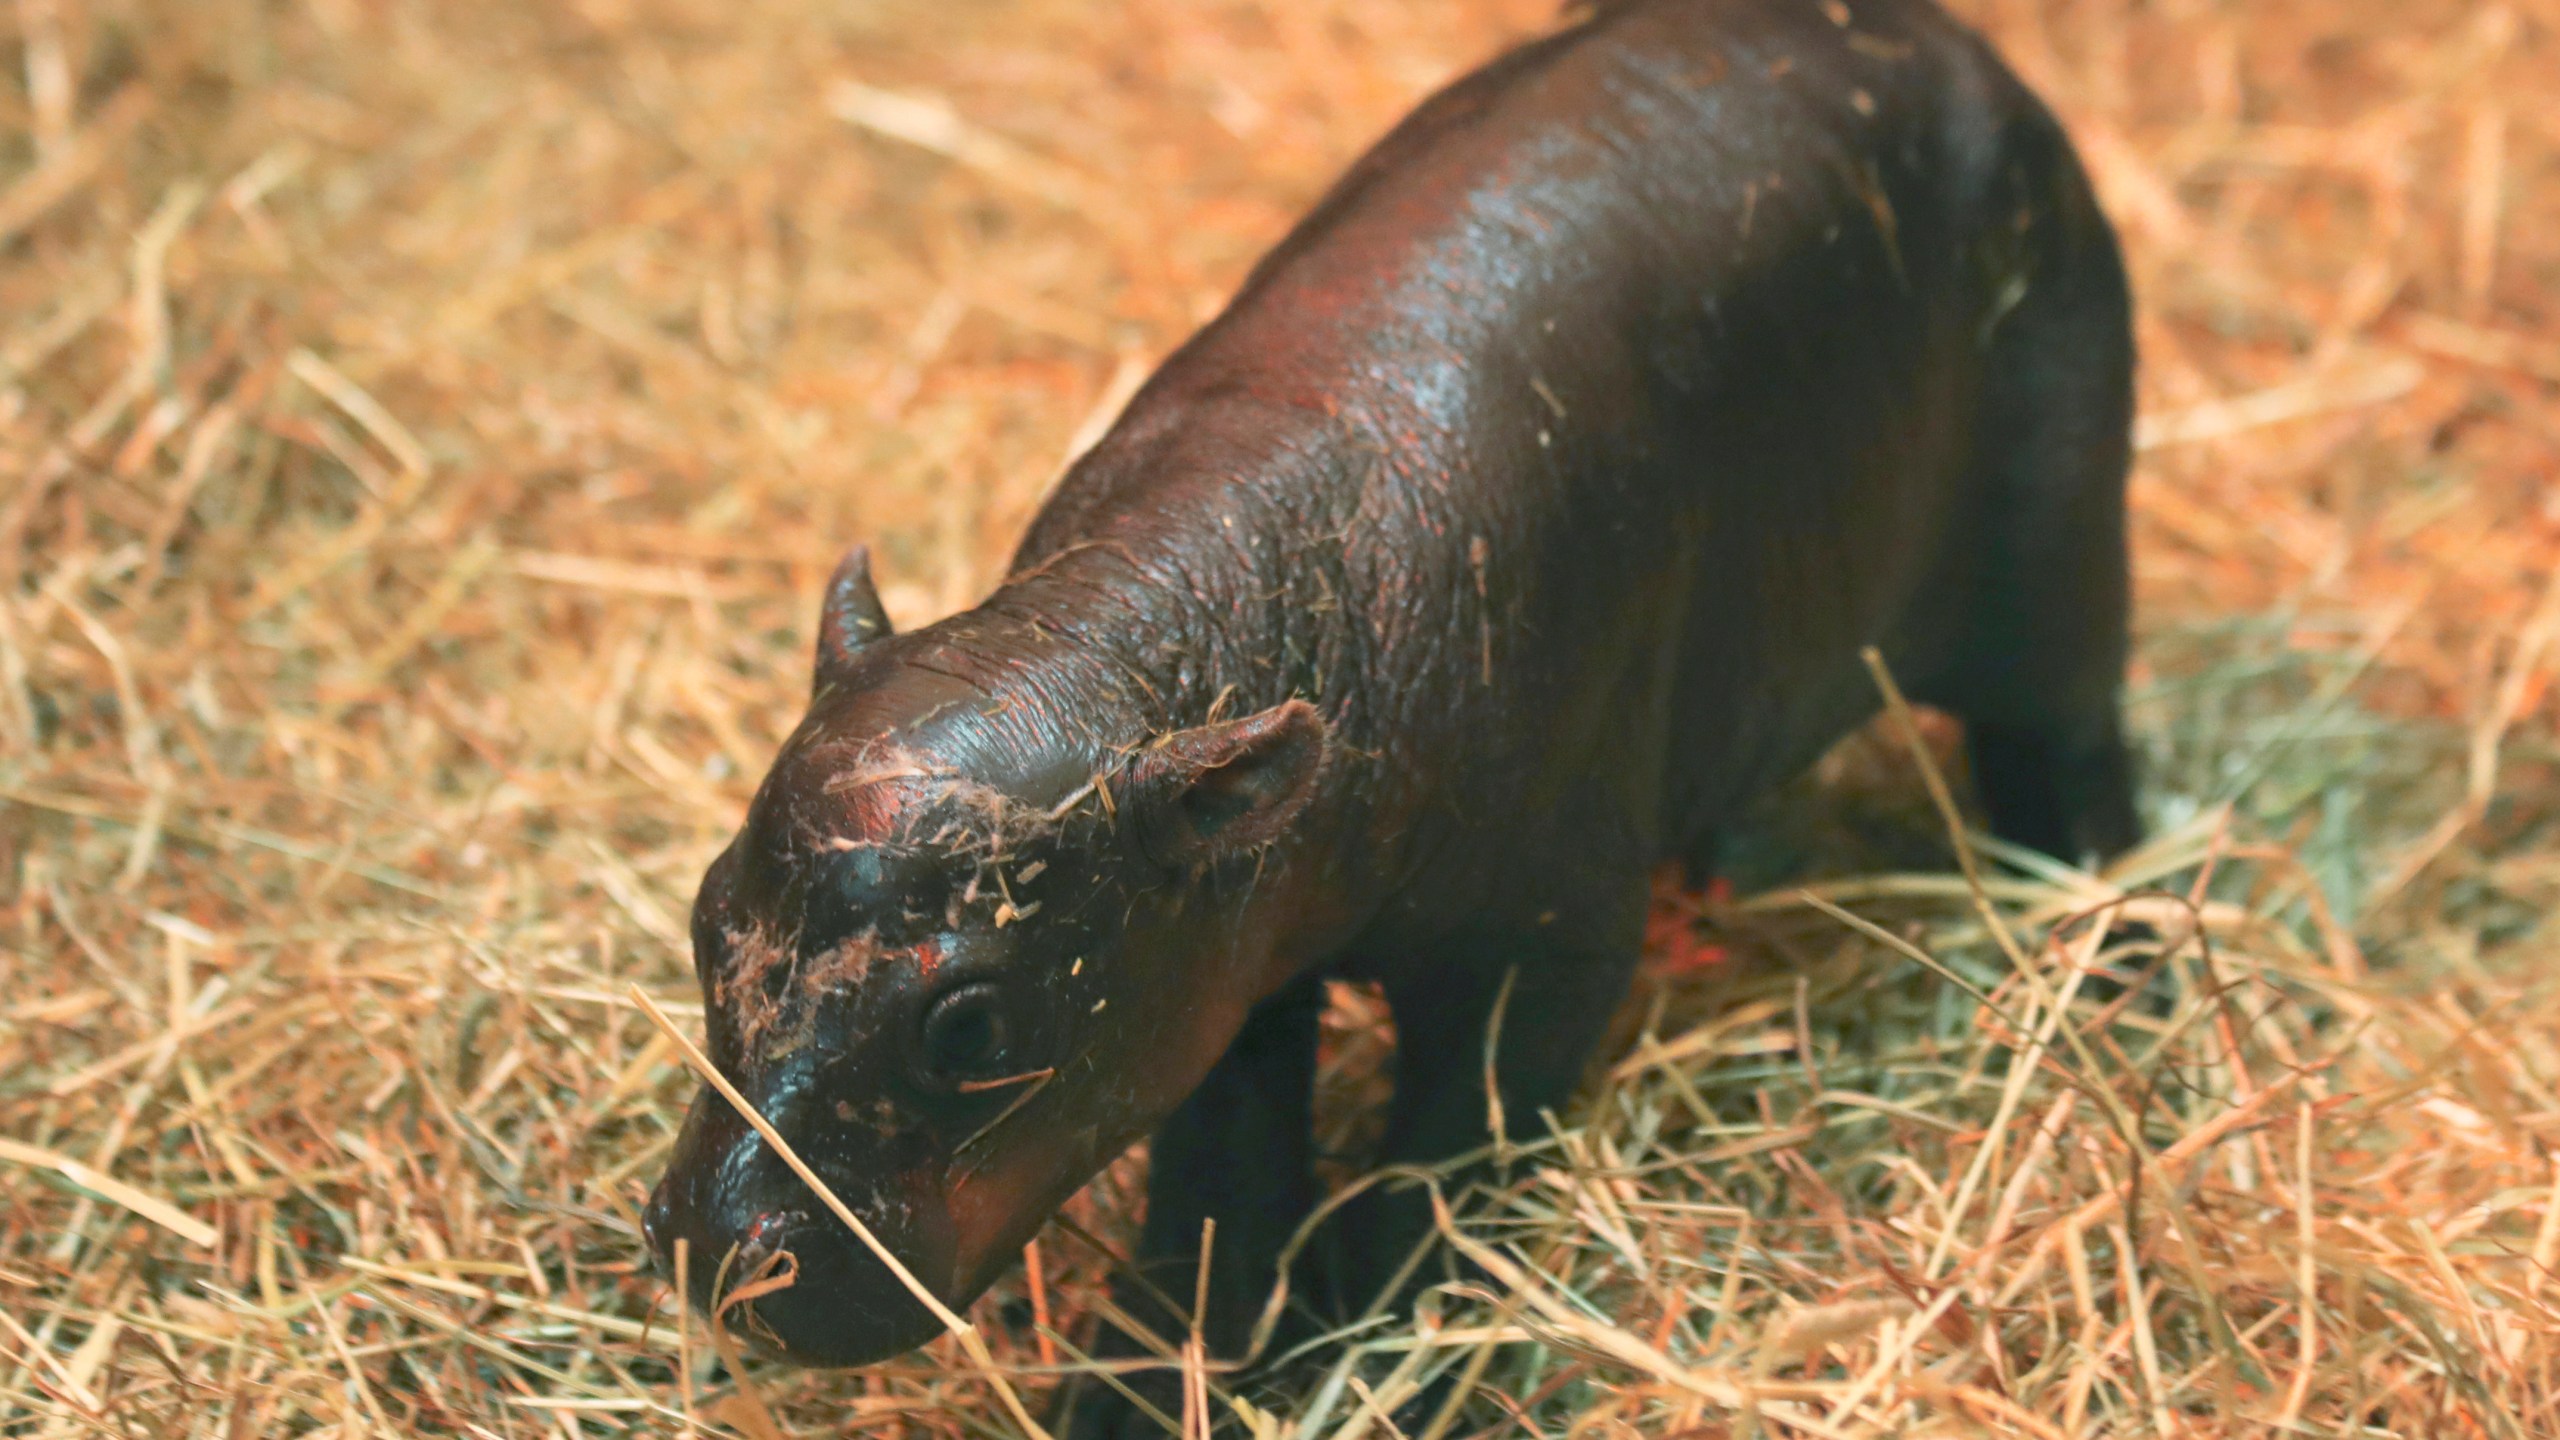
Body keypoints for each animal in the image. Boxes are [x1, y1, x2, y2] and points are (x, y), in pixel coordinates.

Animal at [645, 0, 2140, 1414]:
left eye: (971, 1025)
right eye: (707, 915)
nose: (719, 1254)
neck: (1121, 647)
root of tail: (1957, 46)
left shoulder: (1543, 951)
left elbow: (1439, 1165)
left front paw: (1372, 1359)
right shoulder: (1225, 961)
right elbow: (1219, 1185)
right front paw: (1143, 1390)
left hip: (2058, 563)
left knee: (2072, 758)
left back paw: (2115, 967)